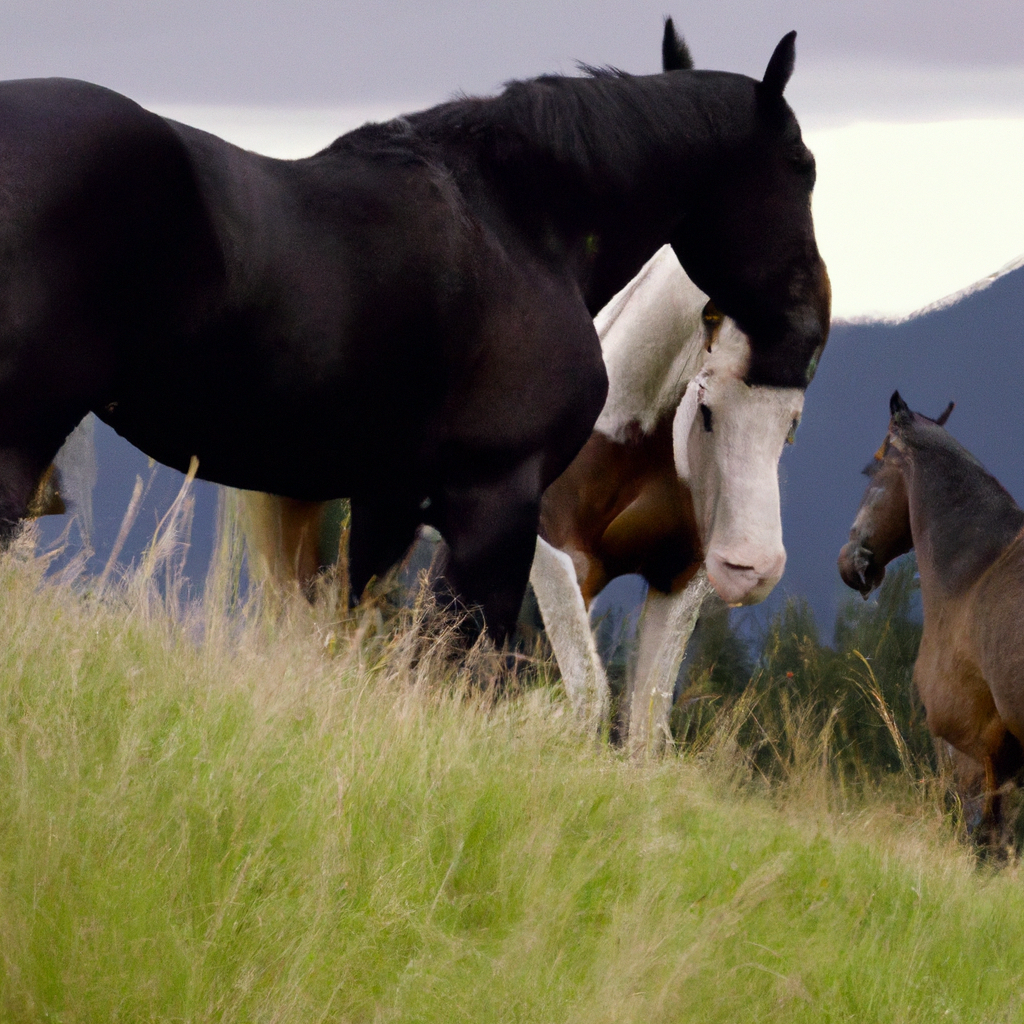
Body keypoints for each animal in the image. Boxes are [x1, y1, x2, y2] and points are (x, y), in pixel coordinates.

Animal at [532, 243, 802, 749]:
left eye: (791, 423)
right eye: (706, 405)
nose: (752, 570)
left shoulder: (675, 583)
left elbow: (645, 727)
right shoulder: (555, 555)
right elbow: (588, 696)